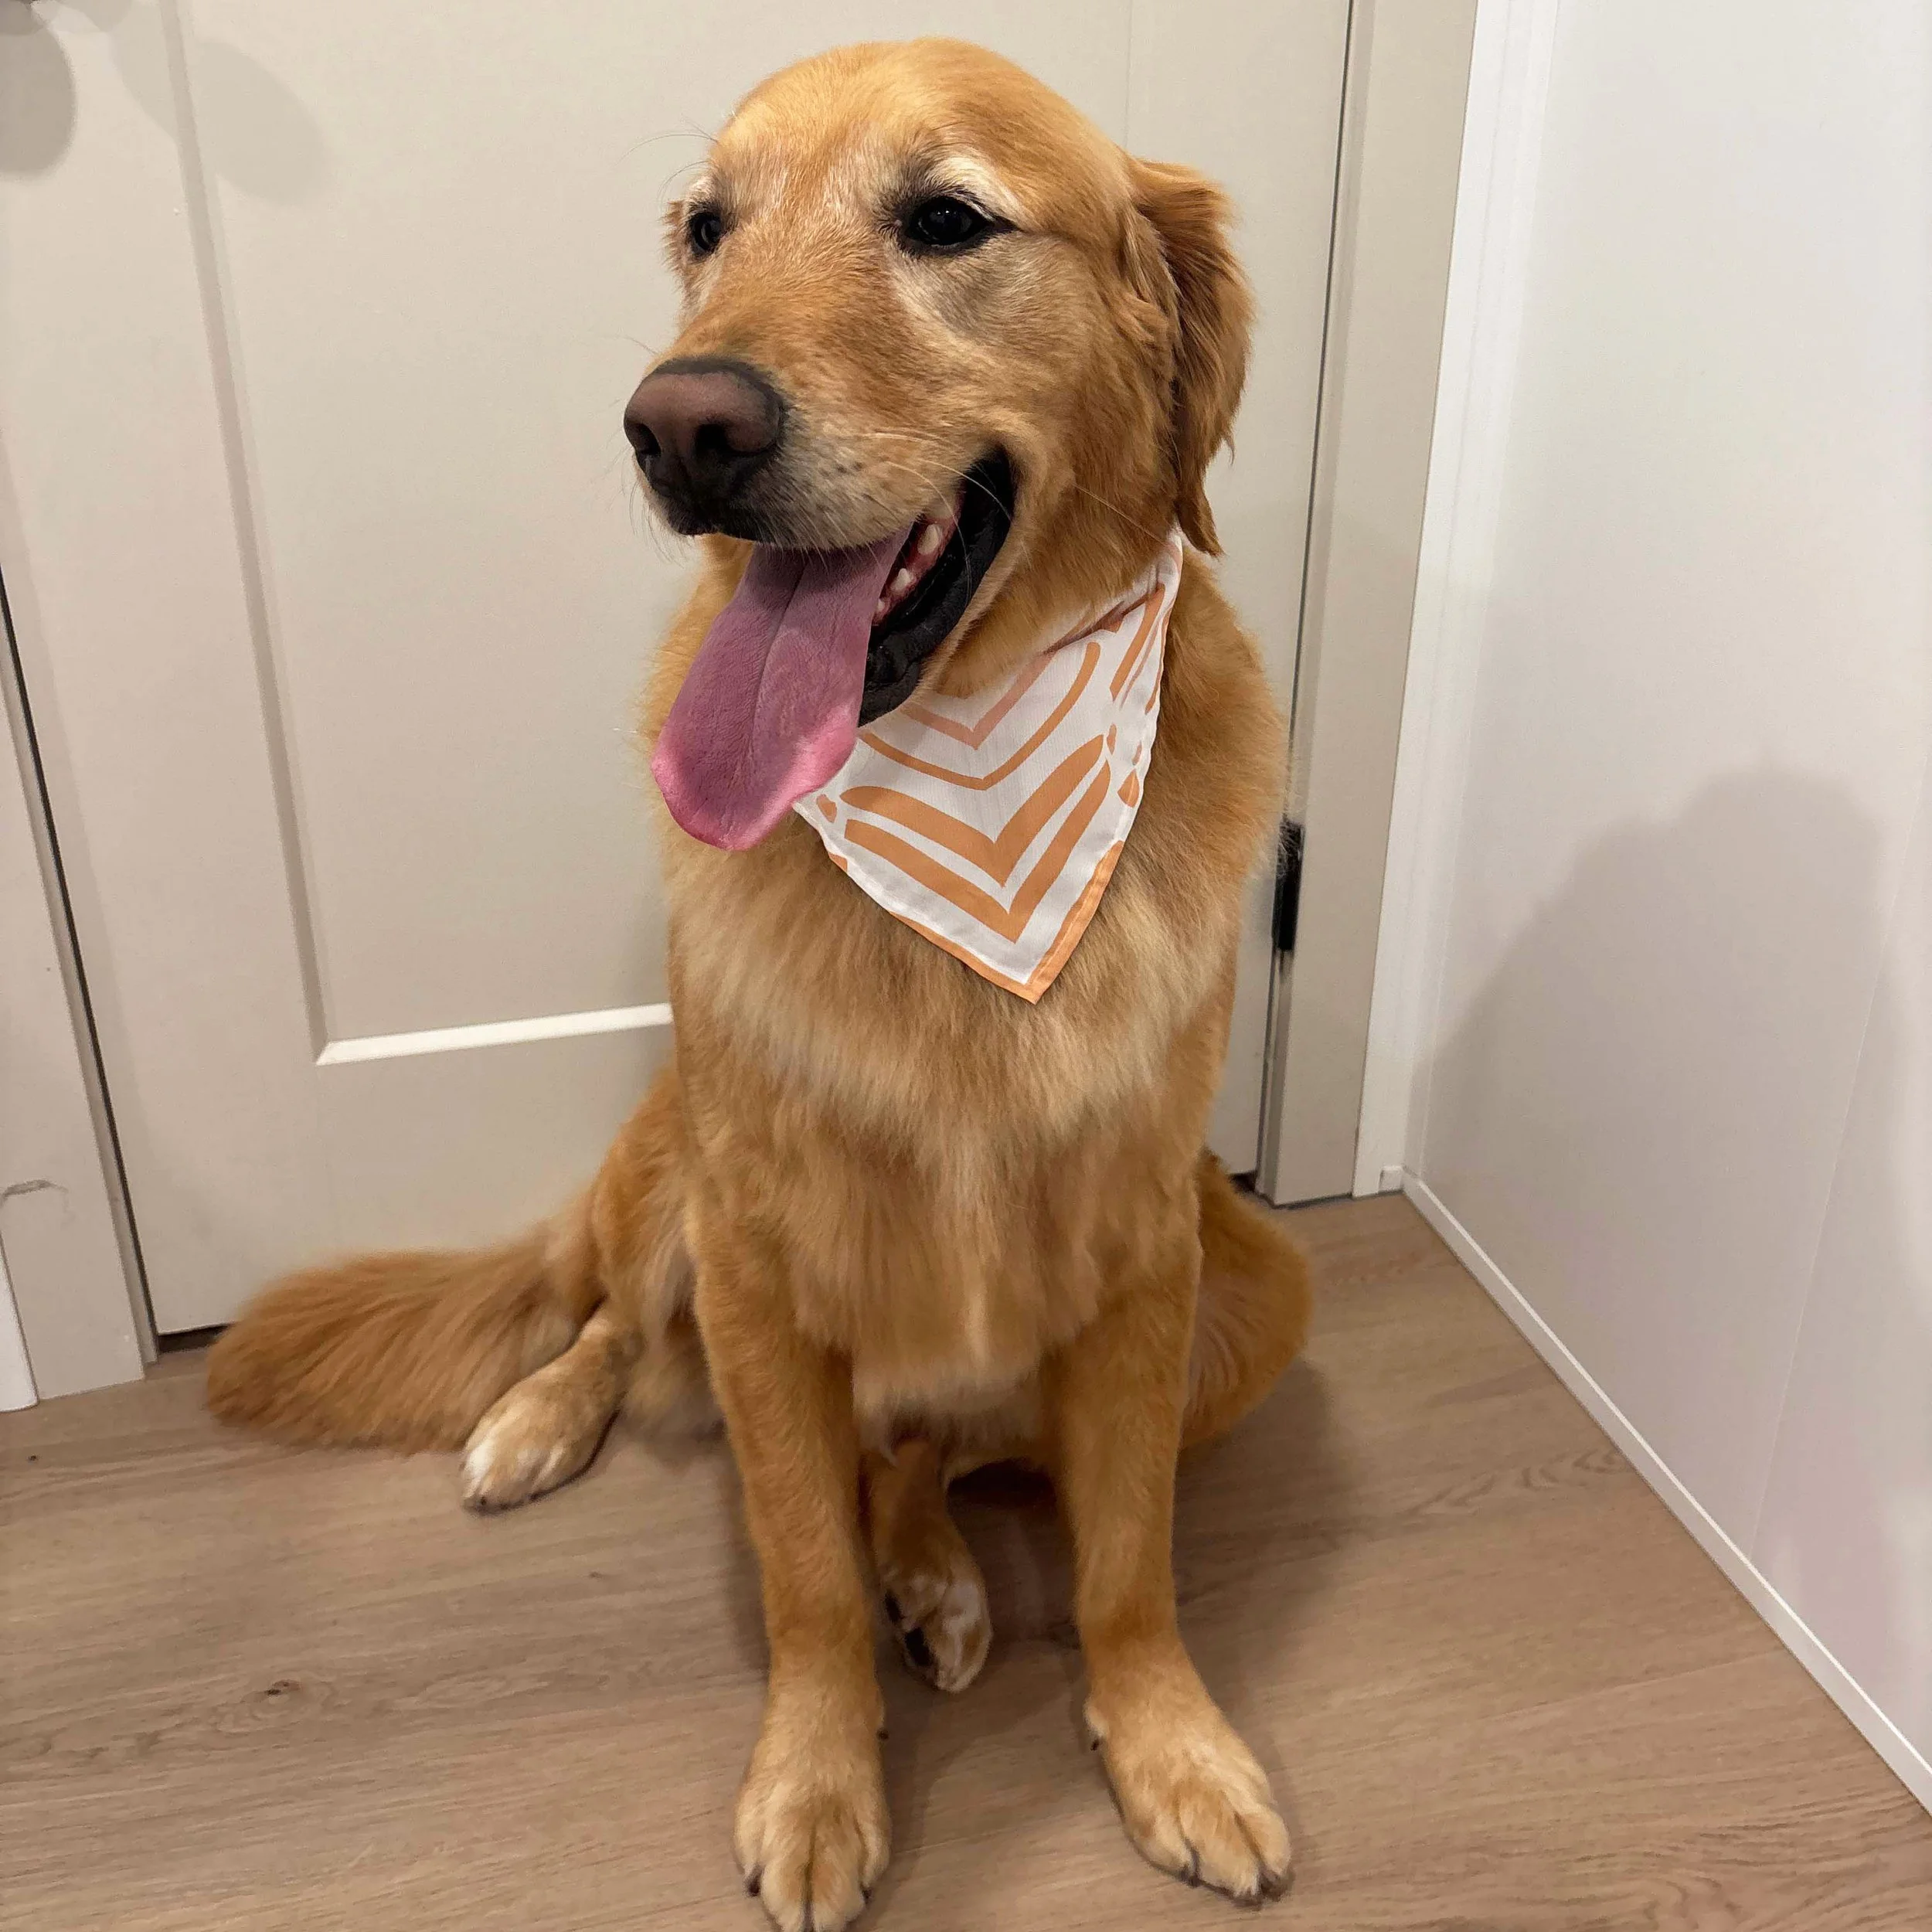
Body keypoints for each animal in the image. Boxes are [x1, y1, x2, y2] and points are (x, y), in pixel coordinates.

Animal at [208, 38, 1311, 1931]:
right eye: (704, 228)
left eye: (946, 220)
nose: (679, 424)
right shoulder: (758, 1260)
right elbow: (799, 1565)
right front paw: (815, 1780)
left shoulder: (1147, 1254)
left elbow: (1127, 1561)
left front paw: (1171, 1745)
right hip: (671, 1177)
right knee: (608, 1318)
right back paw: (540, 1422)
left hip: (1255, 1295)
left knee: (925, 1449)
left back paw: (938, 1576)